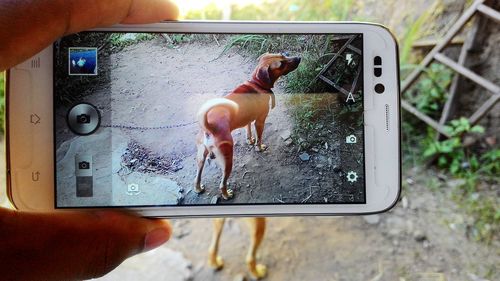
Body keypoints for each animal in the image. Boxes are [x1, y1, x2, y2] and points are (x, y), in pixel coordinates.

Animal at [193, 52, 298, 199]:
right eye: (281, 64)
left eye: (283, 54)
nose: (299, 58)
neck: (257, 83)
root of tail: (209, 128)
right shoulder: (260, 121)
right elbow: (259, 138)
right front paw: (259, 147)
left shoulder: (248, 119)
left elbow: (248, 130)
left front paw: (250, 140)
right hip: (227, 160)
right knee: (222, 183)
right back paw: (227, 194)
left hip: (201, 157)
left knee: (197, 176)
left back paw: (198, 188)